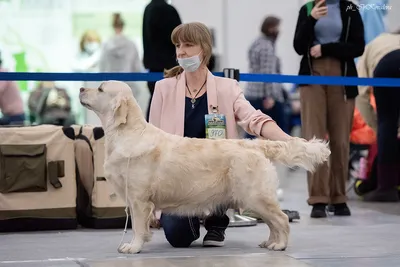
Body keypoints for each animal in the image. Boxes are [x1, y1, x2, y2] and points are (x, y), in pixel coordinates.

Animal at [79, 81, 332, 255]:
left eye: (100, 88)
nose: (81, 88)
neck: (127, 134)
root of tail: (255, 144)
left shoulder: (140, 200)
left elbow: (138, 227)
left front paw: (133, 247)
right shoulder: (134, 199)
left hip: (255, 196)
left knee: (281, 219)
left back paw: (280, 245)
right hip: (254, 199)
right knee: (273, 222)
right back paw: (270, 242)